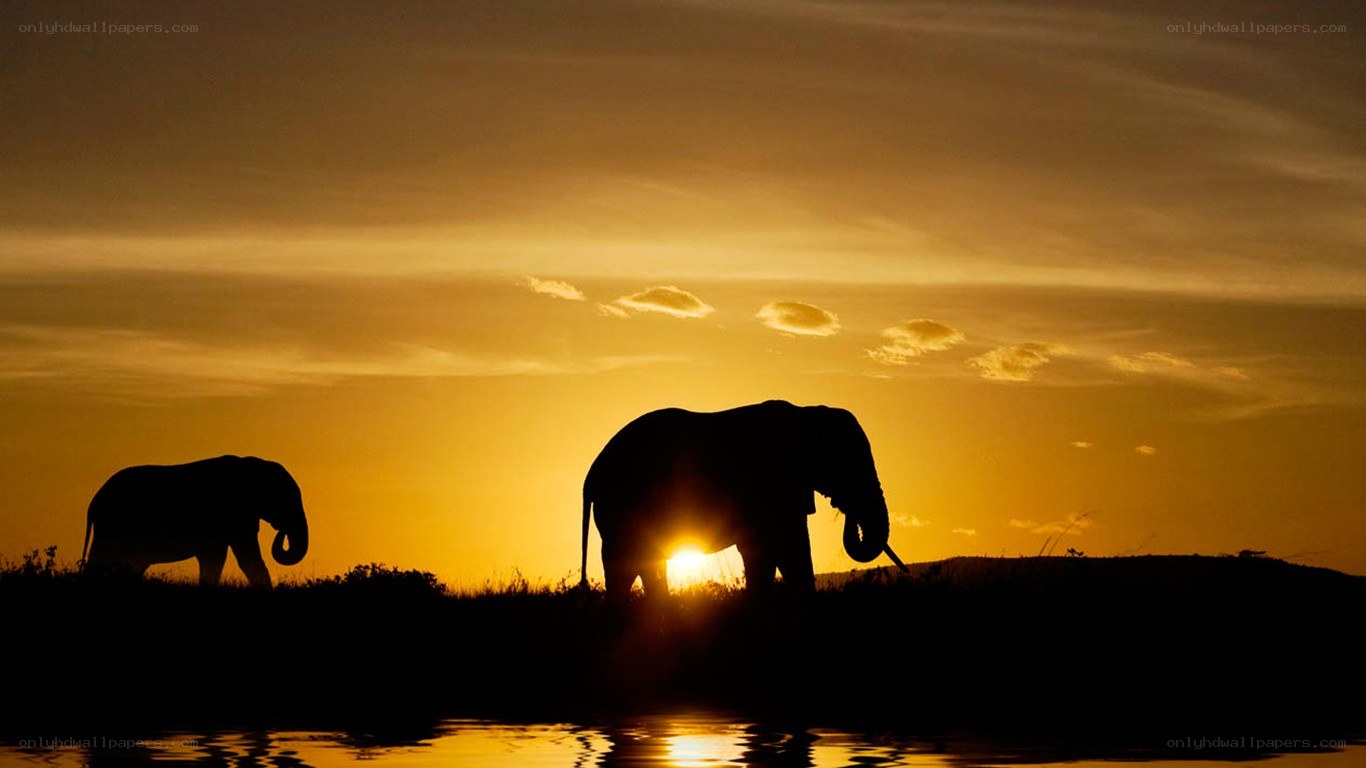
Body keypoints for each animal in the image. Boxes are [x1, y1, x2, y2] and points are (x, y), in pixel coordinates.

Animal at [81, 455, 309, 588]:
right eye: (286, 499)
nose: (282, 532)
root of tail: (93, 503)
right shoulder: (233, 514)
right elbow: (233, 558)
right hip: (112, 528)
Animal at [580, 400, 907, 600]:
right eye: (848, 465)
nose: (845, 508)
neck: (807, 413)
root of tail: (592, 473)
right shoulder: (771, 485)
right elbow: (783, 549)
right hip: (621, 507)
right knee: (626, 564)